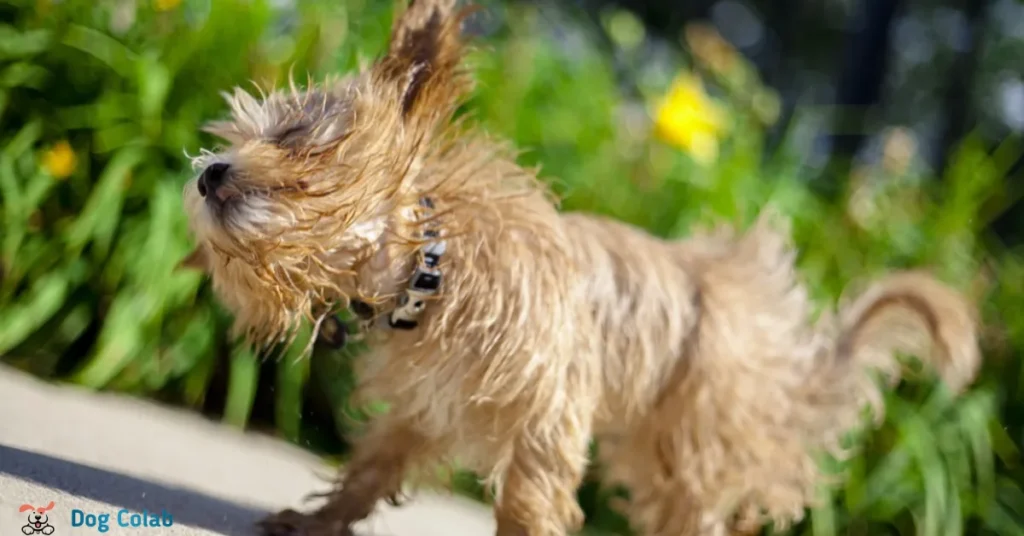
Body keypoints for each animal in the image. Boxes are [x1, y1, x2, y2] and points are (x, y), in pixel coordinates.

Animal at [178, 2, 983, 532]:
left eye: (300, 148)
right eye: (242, 135)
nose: (210, 173)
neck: (433, 273)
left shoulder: (546, 409)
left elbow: (529, 498)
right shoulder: (427, 406)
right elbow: (375, 465)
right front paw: (320, 522)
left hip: (686, 447)